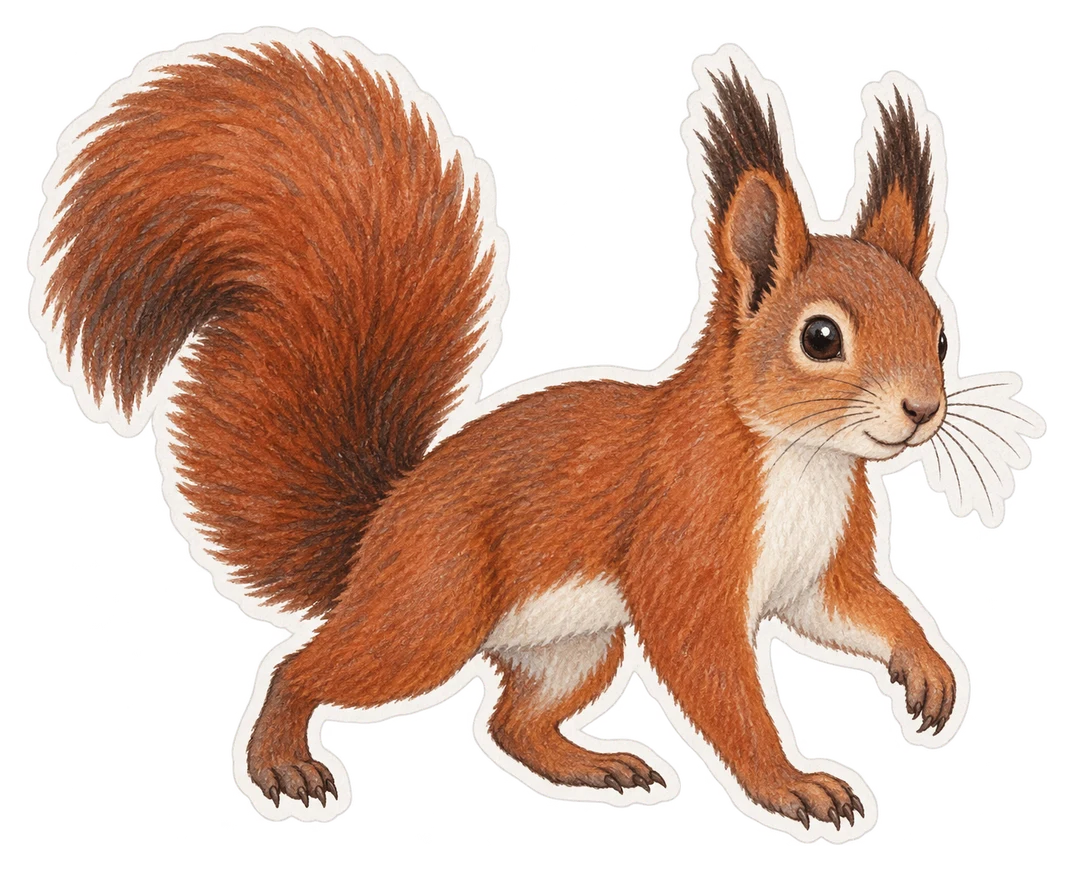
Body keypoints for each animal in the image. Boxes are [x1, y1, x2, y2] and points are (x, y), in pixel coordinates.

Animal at [40, 40, 965, 830]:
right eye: (821, 337)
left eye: (939, 332)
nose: (923, 410)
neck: (804, 459)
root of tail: (379, 530)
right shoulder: (683, 548)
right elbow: (720, 683)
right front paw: (789, 781)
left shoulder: (820, 569)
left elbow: (860, 609)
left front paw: (926, 667)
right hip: (431, 607)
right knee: (308, 669)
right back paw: (280, 760)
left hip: (574, 645)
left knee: (511, 724)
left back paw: (593, 767)